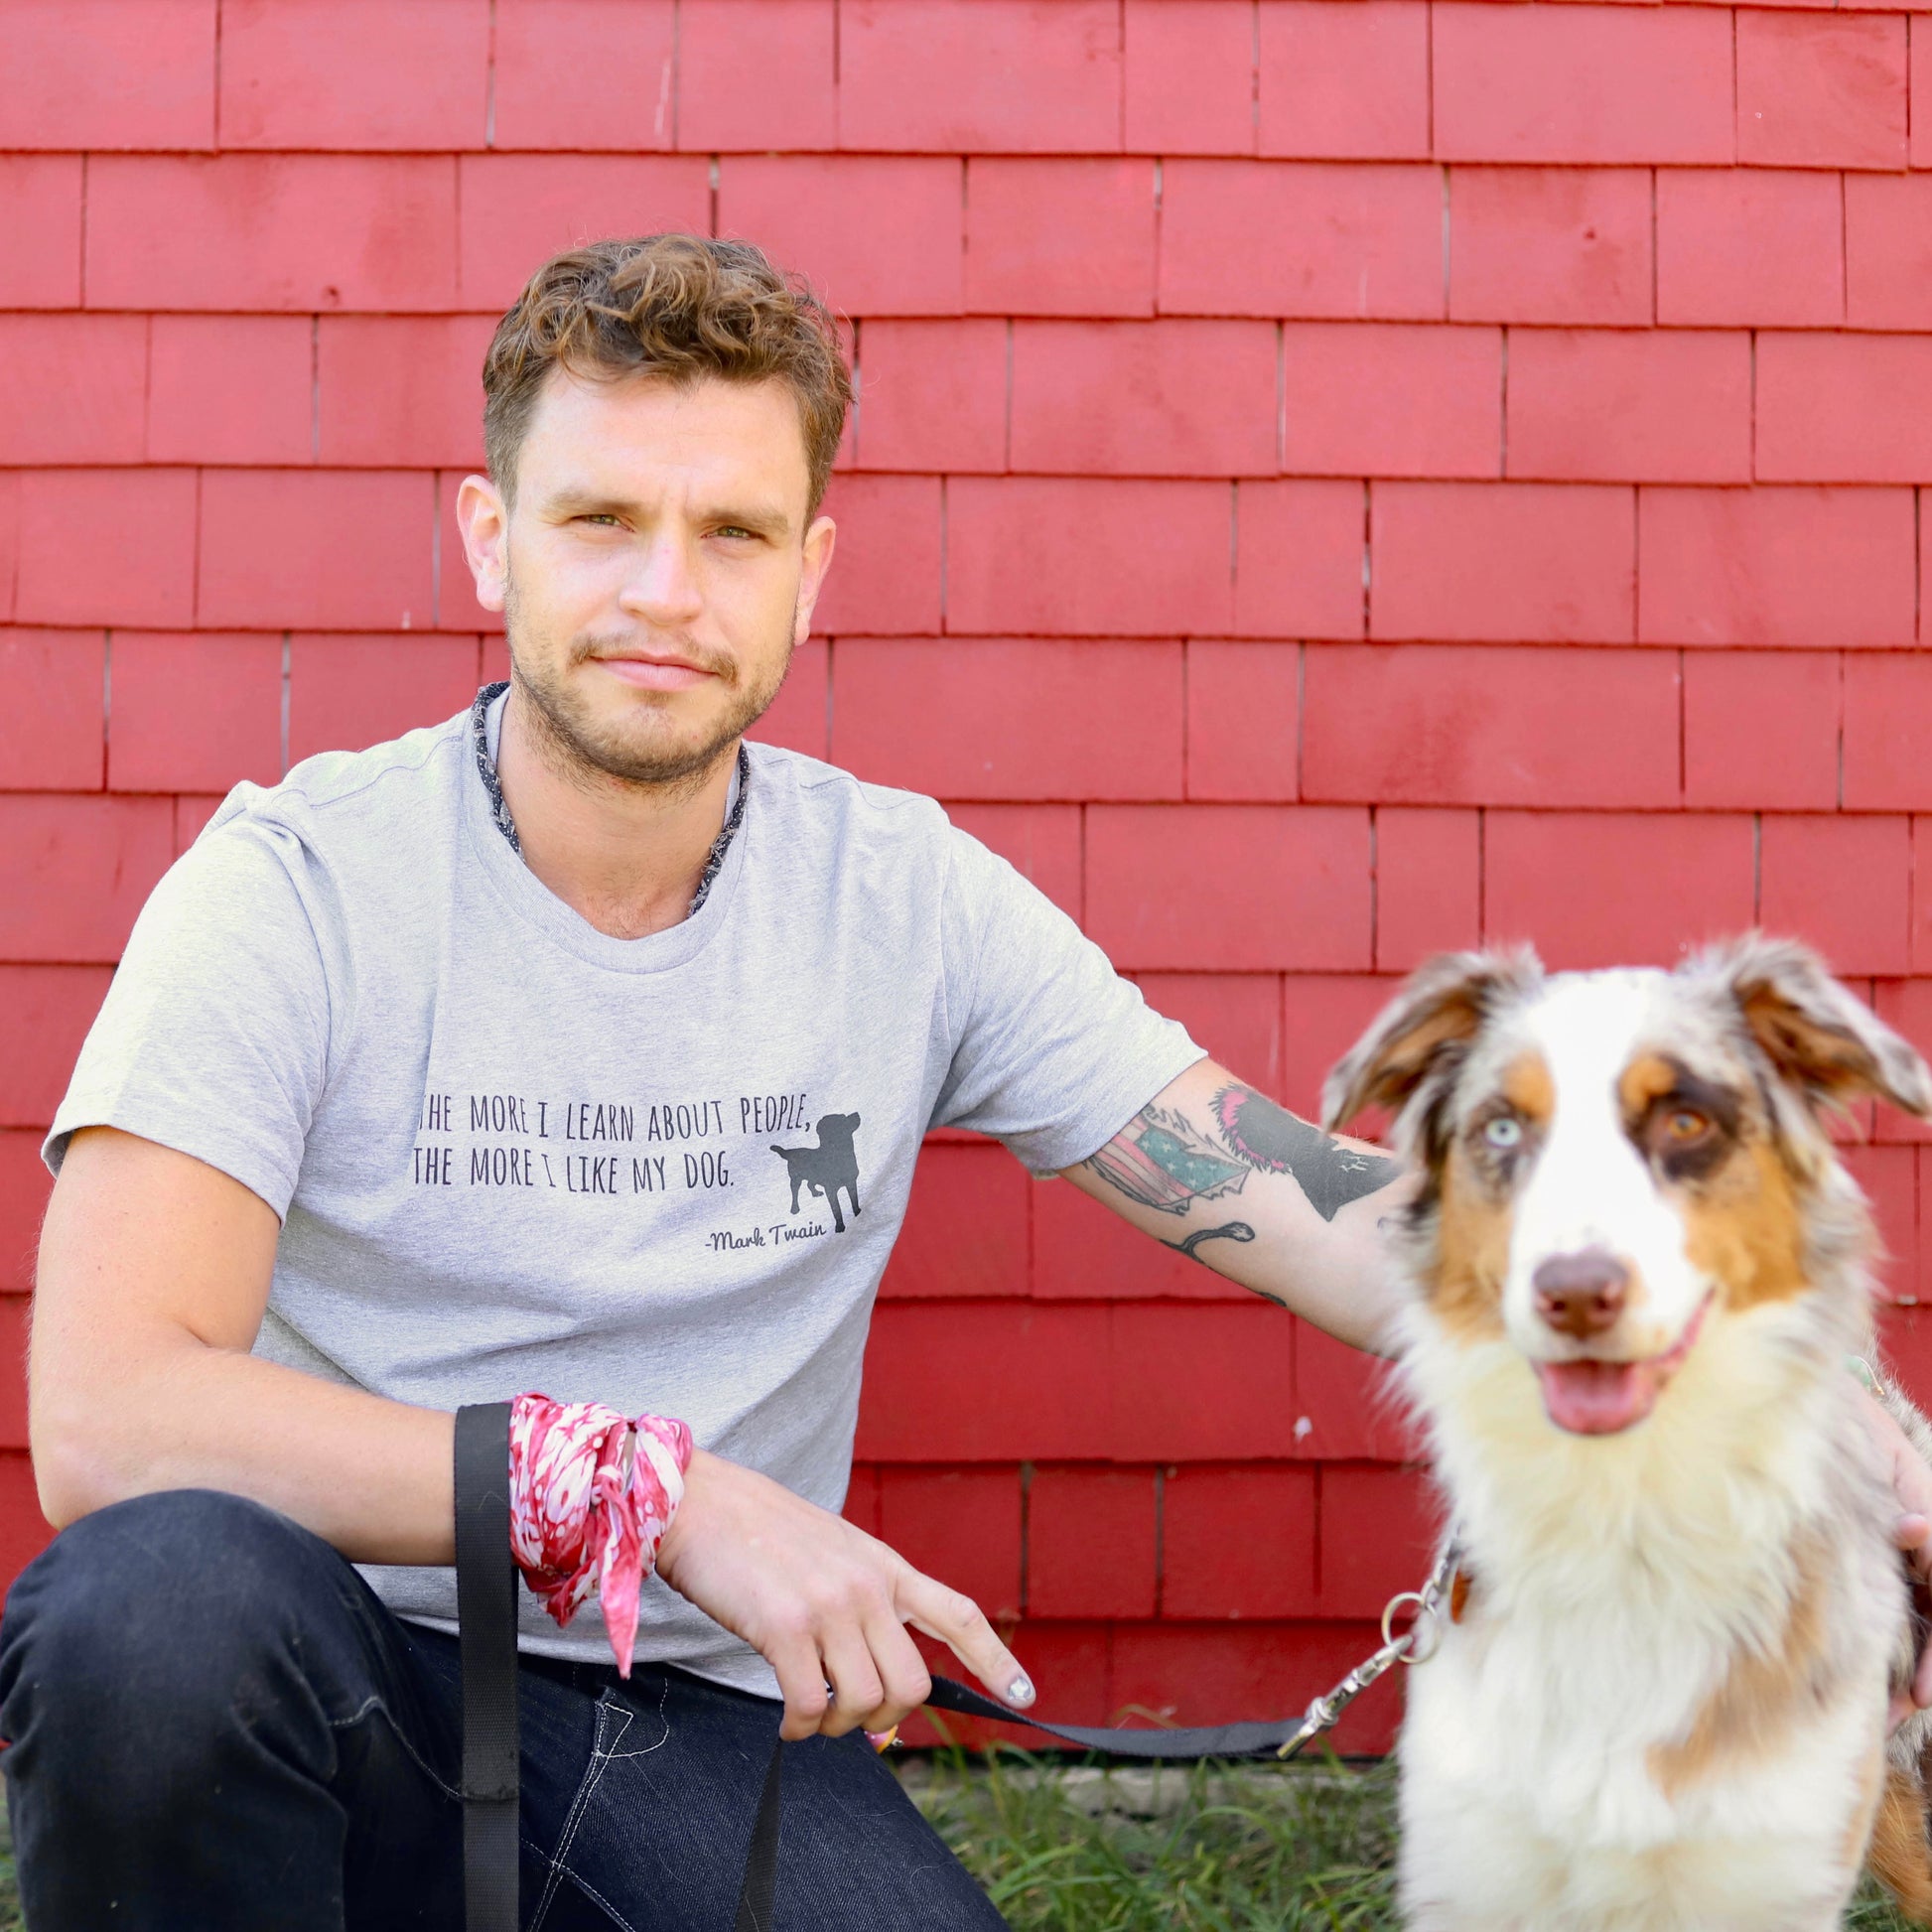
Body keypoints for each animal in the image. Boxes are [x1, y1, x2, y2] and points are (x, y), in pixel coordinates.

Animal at [1322, 935, 1932, 1932]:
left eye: (1685, 1121)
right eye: (1501, 1131)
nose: (1574, 1291)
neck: (1625, 1519)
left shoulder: (1774, 1861)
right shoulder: (1474, 1859)